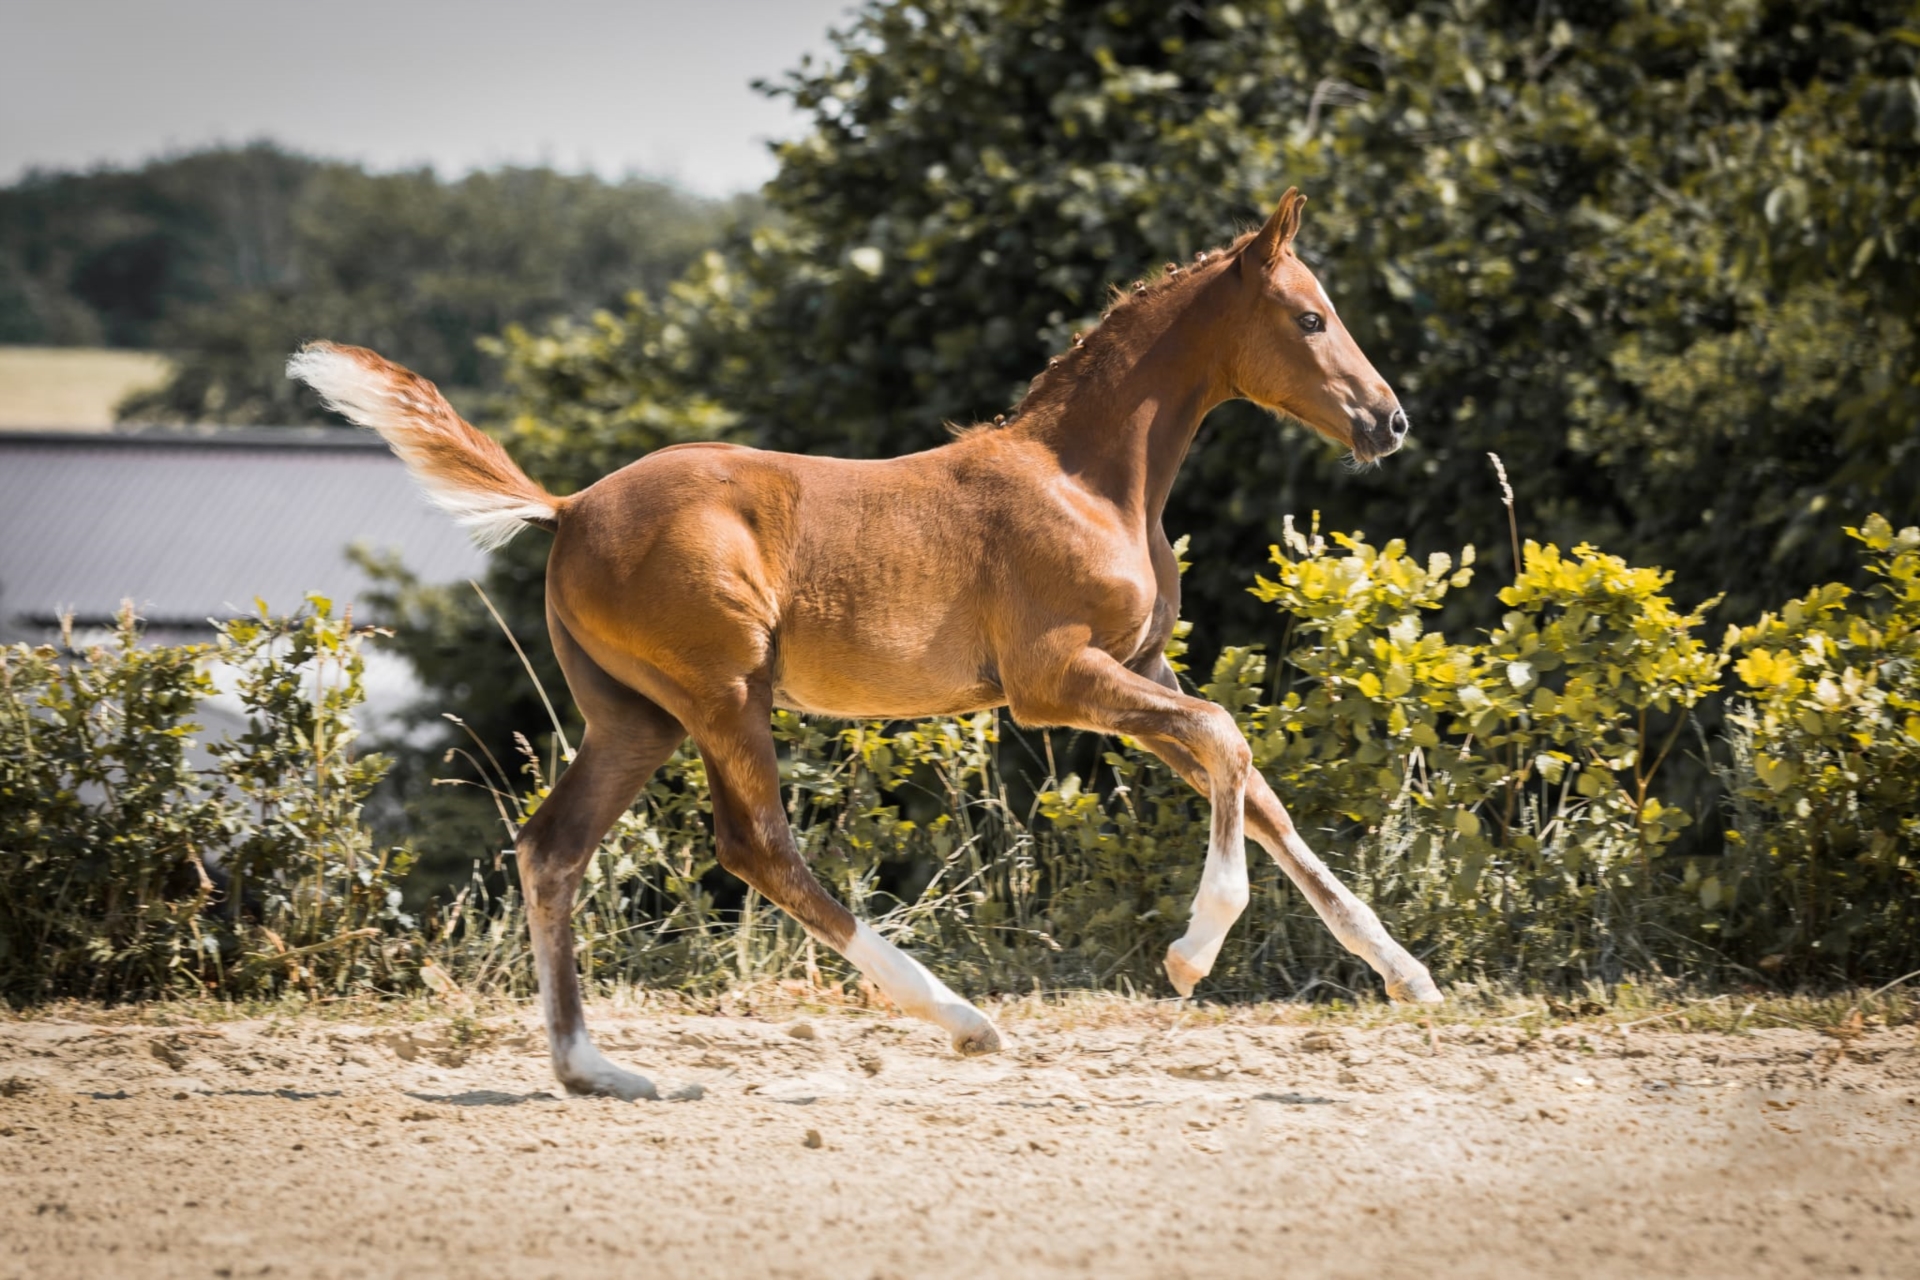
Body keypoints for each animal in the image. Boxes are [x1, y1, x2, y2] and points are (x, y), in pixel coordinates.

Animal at [288, 188, 1443, 1105]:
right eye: (1310, 316)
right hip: (725, 693)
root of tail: (567, 509)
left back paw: (597, 1070)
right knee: (755, 846)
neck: (1085, 478)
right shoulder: (1055, 680)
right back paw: (962, 1017)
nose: (1390, 421)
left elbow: (1258, 787)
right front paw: (1193, 951)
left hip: (634, 716)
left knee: (552, 848)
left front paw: (1406, 973)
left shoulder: (1137, 667)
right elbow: (1226, 737)